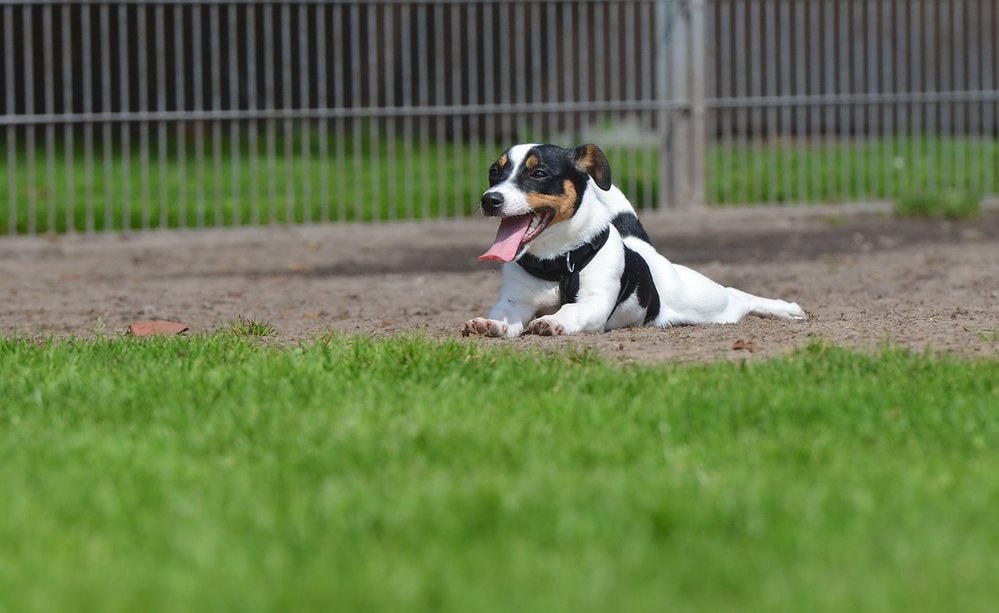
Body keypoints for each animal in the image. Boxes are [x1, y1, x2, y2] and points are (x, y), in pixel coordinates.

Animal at [460, 143, 804, 338]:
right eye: (494, 173)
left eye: (539, 173)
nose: (490, 199)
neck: (558, 261)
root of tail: (643, 247)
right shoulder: (514, 301)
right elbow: (504, 316)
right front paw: (491, 325)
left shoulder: (594, 302)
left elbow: (570, 310)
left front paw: (553, 321)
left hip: (709, 302)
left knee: (738, 296)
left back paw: (785, 309)